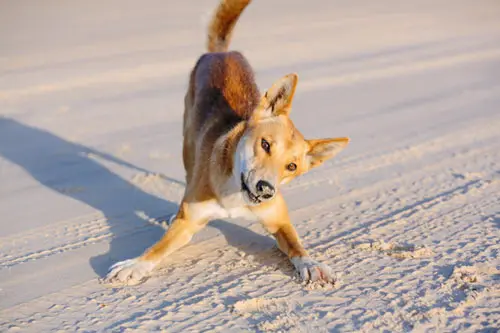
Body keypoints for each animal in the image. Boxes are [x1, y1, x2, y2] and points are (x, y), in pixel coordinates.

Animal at [103, 0, 350, 286]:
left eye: (291, 167)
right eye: (265, 145)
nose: (266, 189)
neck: (236, 195)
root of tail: (222, 53)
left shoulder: (279, 221)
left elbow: (297, 244)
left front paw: (312, 263)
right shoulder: (188, 222)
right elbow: (158, 248)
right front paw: (135, 265)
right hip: (188, 141)